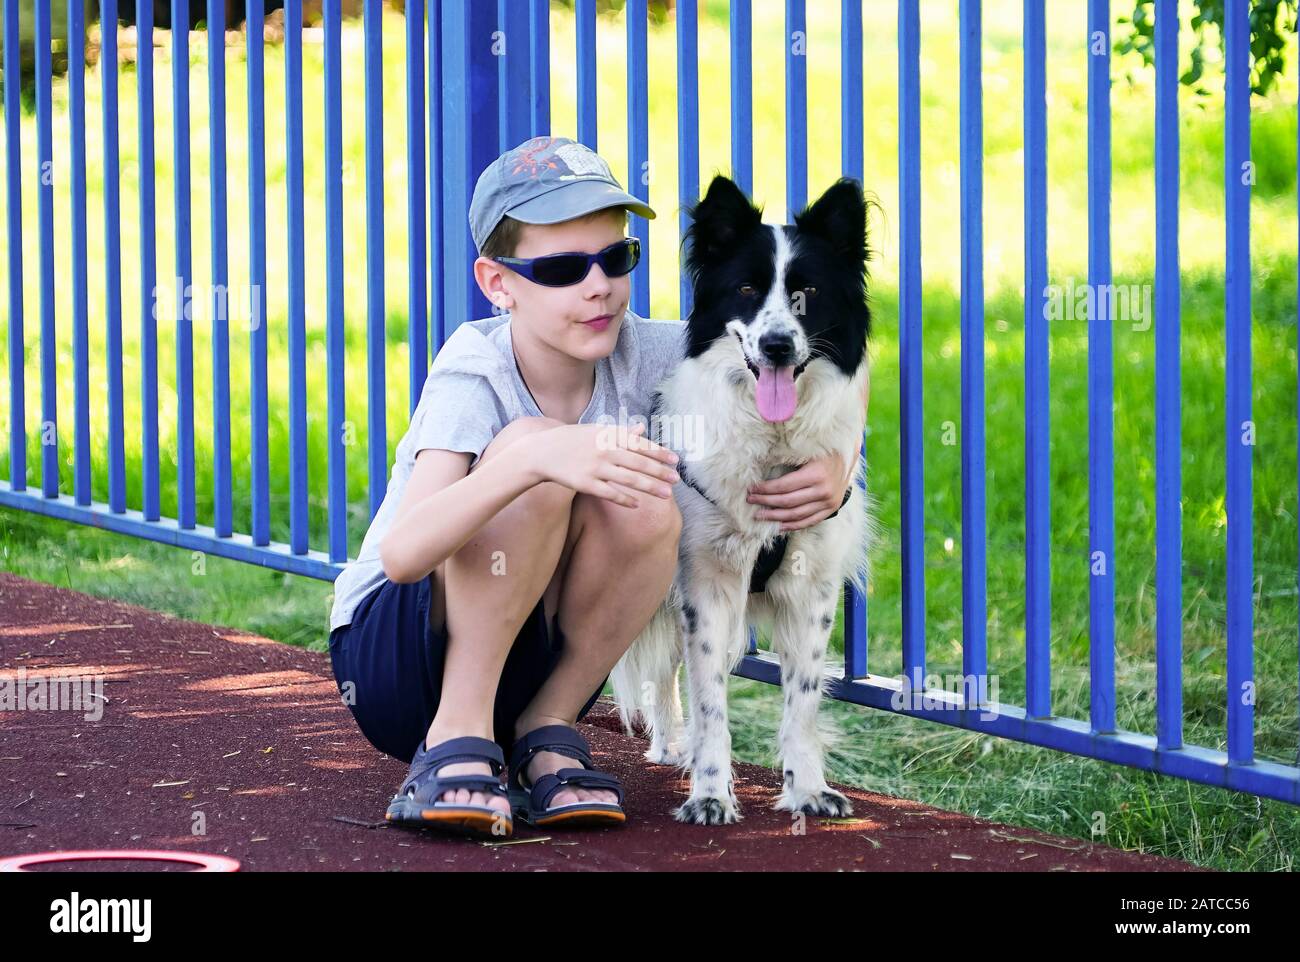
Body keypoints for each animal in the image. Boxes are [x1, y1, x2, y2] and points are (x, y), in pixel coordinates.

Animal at [613, 176, 878, 821]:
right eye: (748, 290)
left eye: (808, 292)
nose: (778, 345)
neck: (772, 446)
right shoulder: (705, 583)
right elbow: (711, 701)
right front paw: (710, 792)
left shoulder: (812, 589)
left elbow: (802, 700)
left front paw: (807, 789)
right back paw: (671, 746)